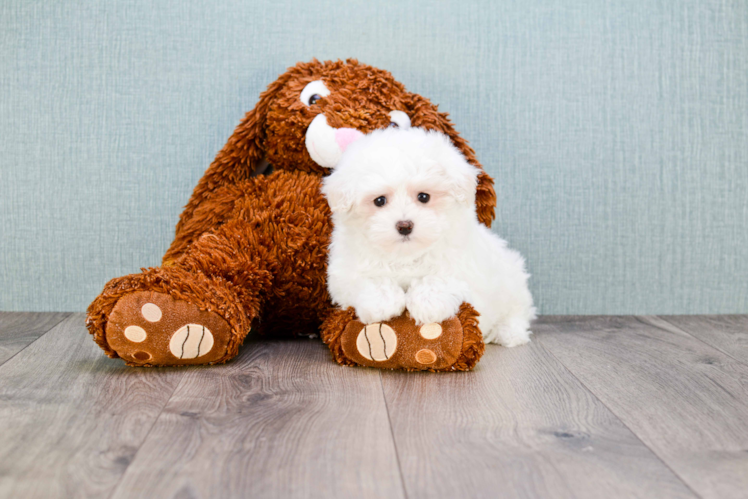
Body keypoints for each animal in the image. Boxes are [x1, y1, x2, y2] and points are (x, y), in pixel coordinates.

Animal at [322, 127, 536, 346]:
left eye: (423, 197)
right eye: (379, 201)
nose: (404, 226)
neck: (405, 255)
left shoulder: (464, 267)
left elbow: (443, 277)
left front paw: (427, 303)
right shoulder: (344, 272)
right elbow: (366, 279)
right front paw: (382, 302)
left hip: (513, 283)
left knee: (518, 312)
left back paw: (508, 332)